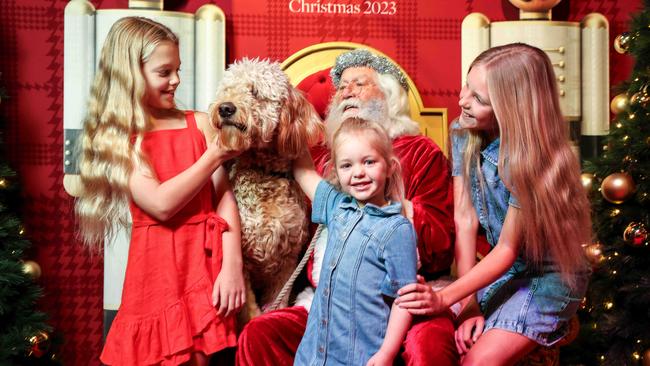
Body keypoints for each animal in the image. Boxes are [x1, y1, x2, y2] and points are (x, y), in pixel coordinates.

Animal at [209, 58, 322, 324]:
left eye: (255, 92)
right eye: (228, 89)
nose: (225, 108)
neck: (264, 173)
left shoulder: (287, 262)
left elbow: (278, 300)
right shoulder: (243, 264)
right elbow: (248, 309)